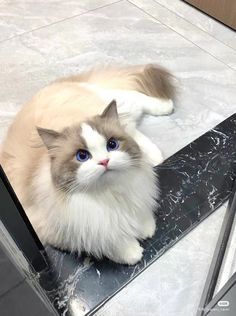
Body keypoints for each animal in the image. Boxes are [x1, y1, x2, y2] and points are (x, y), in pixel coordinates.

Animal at [0, 63, 175, 264]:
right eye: (82, 156)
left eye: (111, 145)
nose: (104, 161)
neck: (108, 194)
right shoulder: (65, 231)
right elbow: (106, 239)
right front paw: (132, 252)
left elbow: (140, 209)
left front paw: (145, 228)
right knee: (132, 128)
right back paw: (154, 154)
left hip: (109, 103)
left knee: (133, 98)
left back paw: (166, 107)